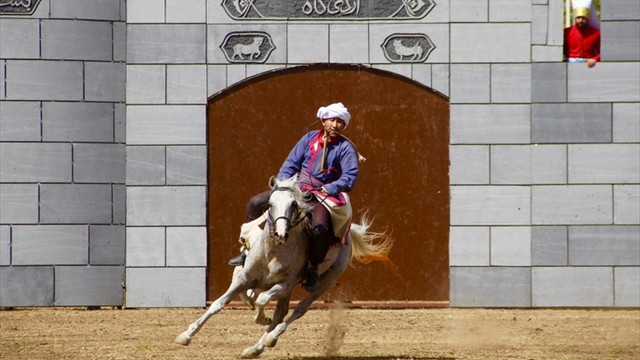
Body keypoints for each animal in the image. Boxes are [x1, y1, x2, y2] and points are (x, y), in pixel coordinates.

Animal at [176, 174, 396, 358]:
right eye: (270, 204)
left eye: (293, 204)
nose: (280, 234)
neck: (272, 252)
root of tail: (347, 236)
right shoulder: (243, 279)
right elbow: (218, 303)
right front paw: (186, 335)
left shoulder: (283, 283)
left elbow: (262, 300)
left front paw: (262, 319)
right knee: (280, 312)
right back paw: (256, 347)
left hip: (323, 282)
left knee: (297, 310)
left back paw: (271, 337)